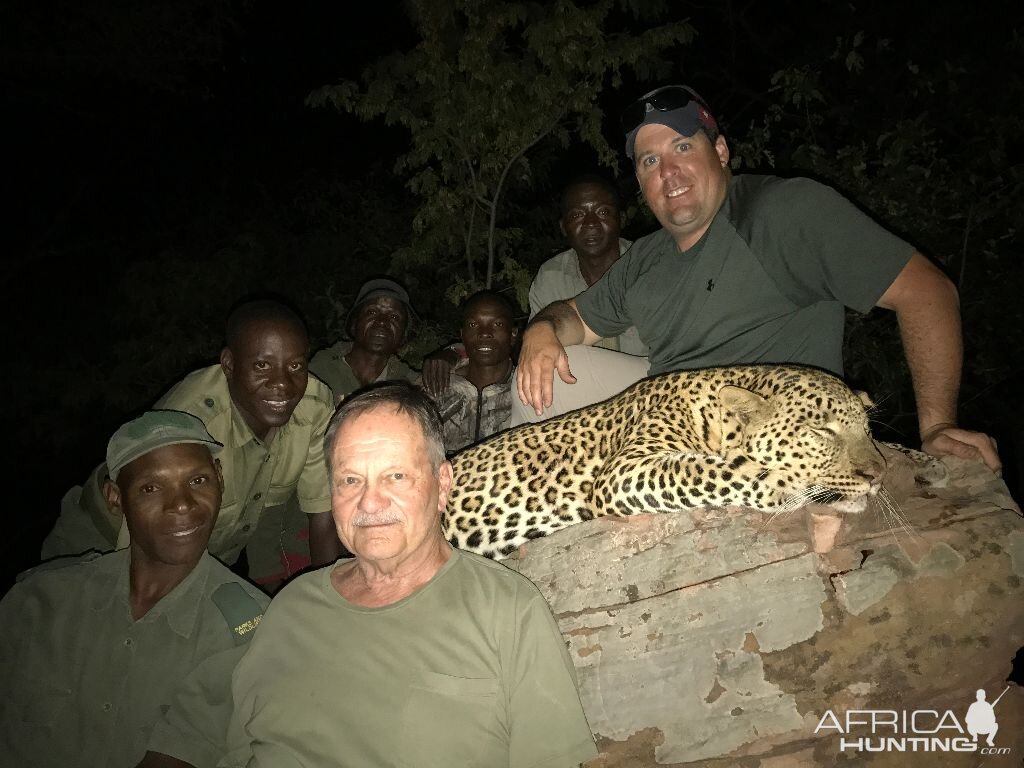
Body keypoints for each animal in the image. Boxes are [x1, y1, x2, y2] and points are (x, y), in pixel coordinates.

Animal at [442, 366, 942, 561]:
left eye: (867, 430)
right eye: (822, 432)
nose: (875, 476)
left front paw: (928, 458)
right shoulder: (623, 471)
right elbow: (700, 469)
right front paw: (784, 485)